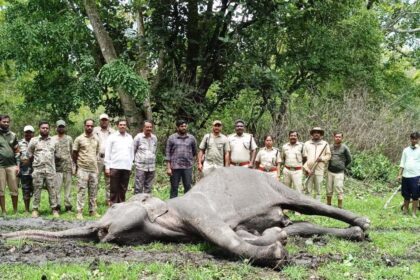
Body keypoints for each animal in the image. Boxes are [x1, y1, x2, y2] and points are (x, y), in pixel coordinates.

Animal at [0, 167, 370, 268]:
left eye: (114, 208)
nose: (101, 231)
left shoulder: (195, 209)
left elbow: (224, 235)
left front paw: (276, 252)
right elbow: (242, 234)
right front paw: (272, 239)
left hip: (273, 182)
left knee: (309, 205)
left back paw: (364, 224)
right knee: (300, 223)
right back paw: (352, 234)